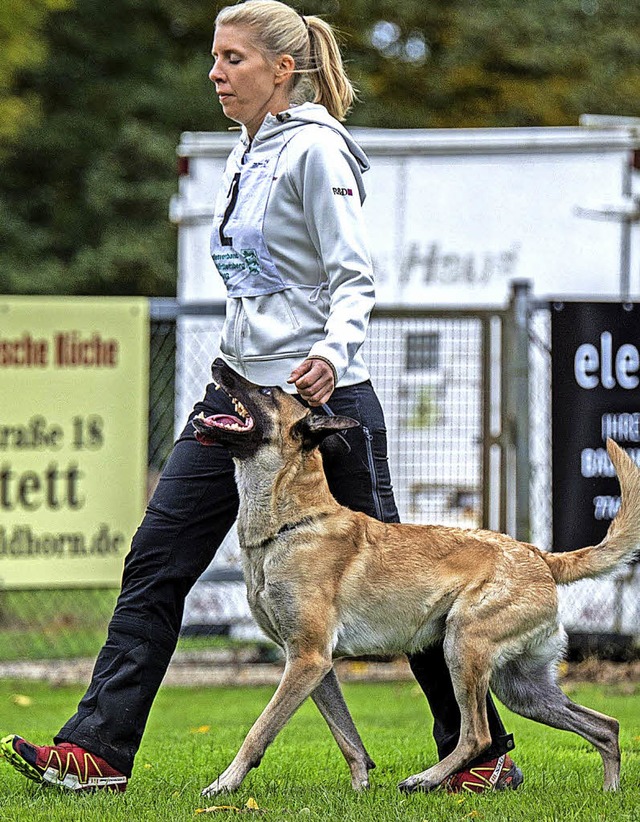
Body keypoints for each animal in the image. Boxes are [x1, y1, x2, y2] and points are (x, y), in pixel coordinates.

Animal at [194, 360, 640, 800]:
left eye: (267, 392)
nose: (218, 363)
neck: (292, 524)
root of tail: (538, 555)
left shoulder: (307, 659)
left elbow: (260, 730)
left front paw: (225, 783)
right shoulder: (314, 666)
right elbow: (347, 738)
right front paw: (360, 788)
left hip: (462, 647)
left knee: (477, 735)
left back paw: (425, 779)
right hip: (523, 689)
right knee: (606, 726)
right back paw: (611, 790)